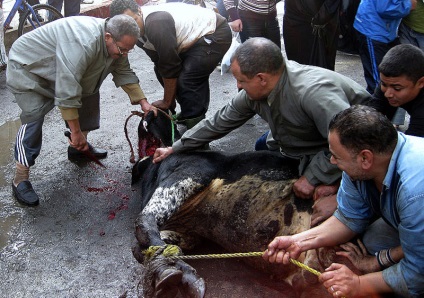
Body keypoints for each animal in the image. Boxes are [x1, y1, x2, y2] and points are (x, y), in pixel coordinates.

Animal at [128, 111, 354, 298]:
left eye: (163, 119)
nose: (150, 111)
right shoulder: (189, 234)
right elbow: (142, 247)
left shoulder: (189, 174)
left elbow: (142, 225)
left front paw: (175, 275)